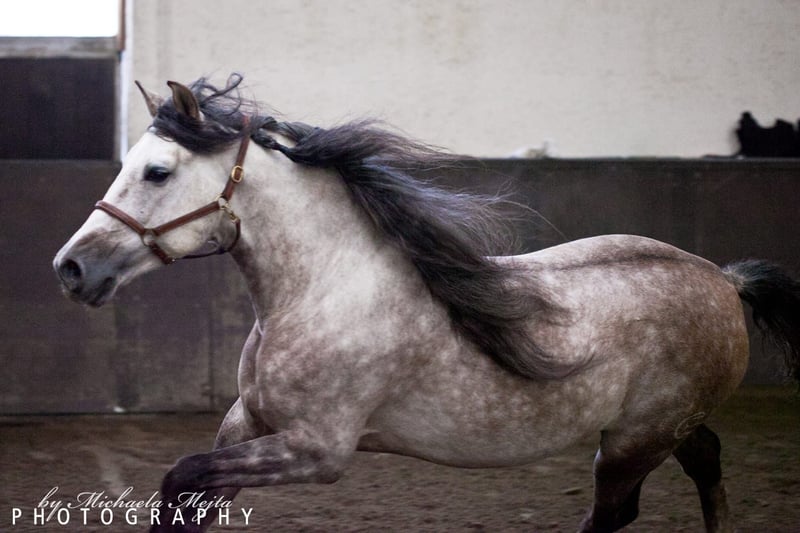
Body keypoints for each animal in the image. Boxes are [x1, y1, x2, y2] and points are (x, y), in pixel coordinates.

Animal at [53, 75, 800, 532]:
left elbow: (182, 478)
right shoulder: (246, 425)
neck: (323, 290)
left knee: (616, 512)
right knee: (707, 461)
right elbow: (186, 498)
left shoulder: (315, 450)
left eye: (158, 171)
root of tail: (723, 280)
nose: (71, 267)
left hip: (633, 441)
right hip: (659, 429)